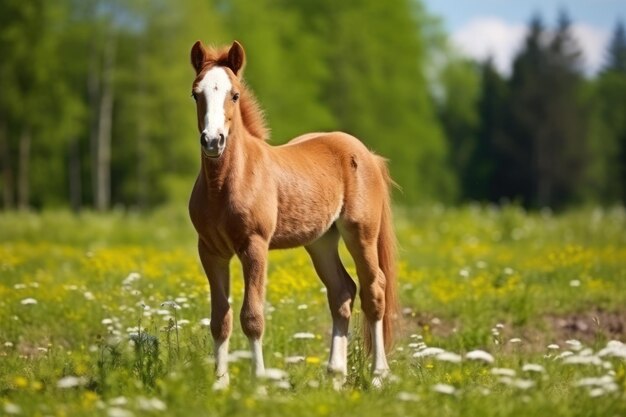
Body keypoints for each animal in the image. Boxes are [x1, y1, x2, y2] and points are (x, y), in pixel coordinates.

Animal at [188, 40, 398, 388]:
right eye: (196, 93)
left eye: (234, 94)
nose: (212, 141)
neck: (224, 184)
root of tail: (368, 154)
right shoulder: (210, 251)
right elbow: (220, 319)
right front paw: (219, 385)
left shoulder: (254, 247)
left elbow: (252, 316)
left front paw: (259, 384)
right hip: (321, 242)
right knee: (342, 292)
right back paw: (335, 377)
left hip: (361, 234)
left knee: (374, 291)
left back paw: (378, 376)